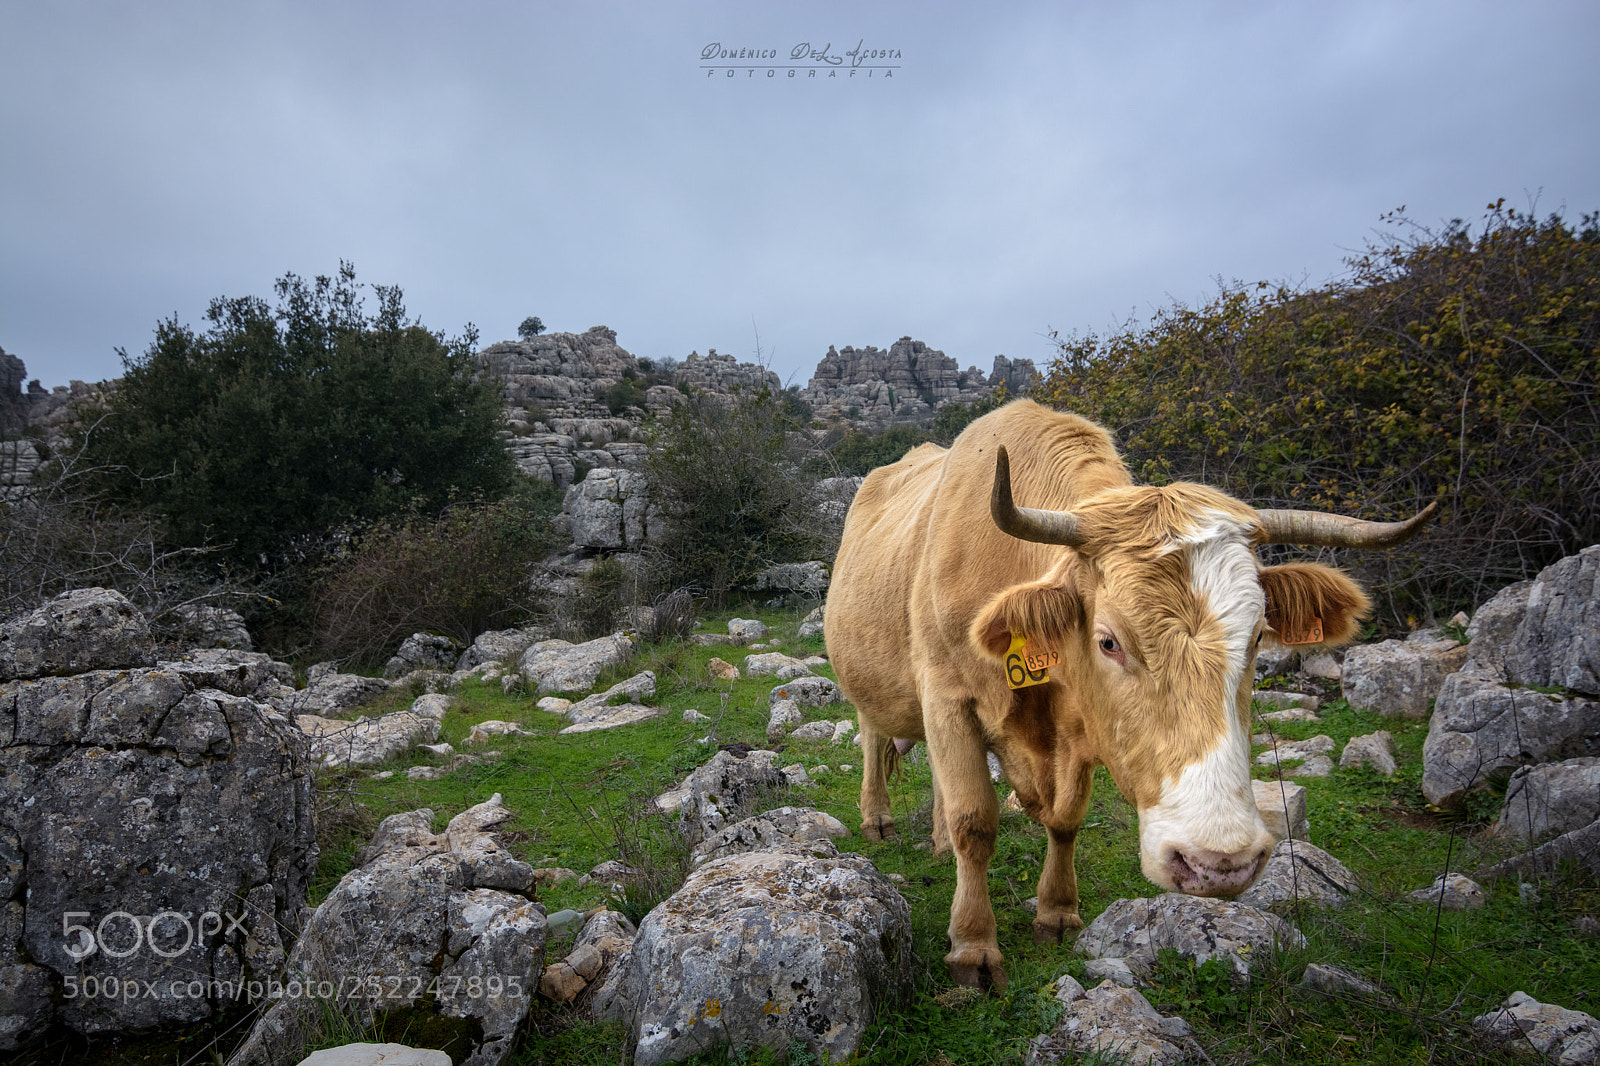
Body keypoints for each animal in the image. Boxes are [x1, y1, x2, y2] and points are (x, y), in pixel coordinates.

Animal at [825, 400, 1434, 990]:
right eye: (1109, 641)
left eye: (1260, 635)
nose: (1218, 862)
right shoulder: (948, 699)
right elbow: (974, 820)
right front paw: (973, 946)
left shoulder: (1079, 732)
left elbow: (1066, 820)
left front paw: (1057, 913)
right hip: (868, 682)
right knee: (875, 738)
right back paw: (878, 819)